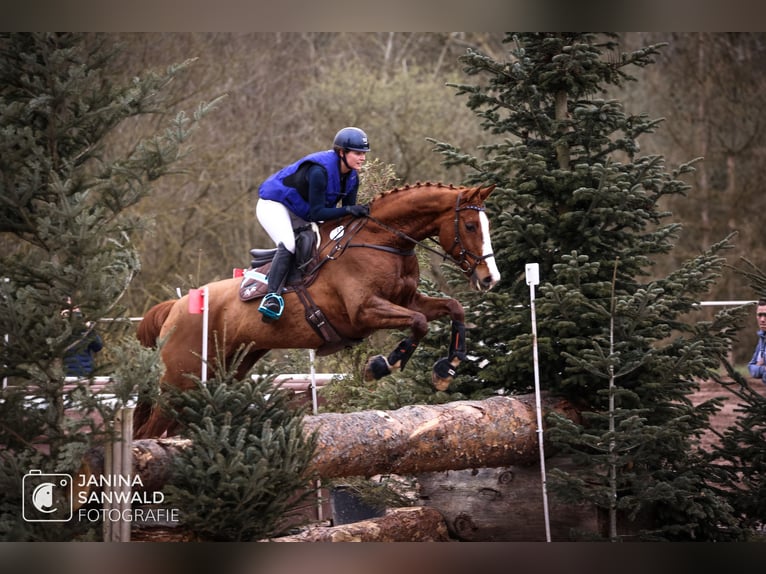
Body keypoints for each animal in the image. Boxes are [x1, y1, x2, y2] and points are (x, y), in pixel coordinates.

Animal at [132, 184, 504, 440]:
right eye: (471, 226)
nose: (490, 279)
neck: (384, 240)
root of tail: (174, 307)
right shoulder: (363, 312)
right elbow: (420, 323)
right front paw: (383, 365)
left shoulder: (408, 299)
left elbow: (452, 309)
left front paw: (445, 370)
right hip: (179, 382)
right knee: (147, 434)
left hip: (218, 376)